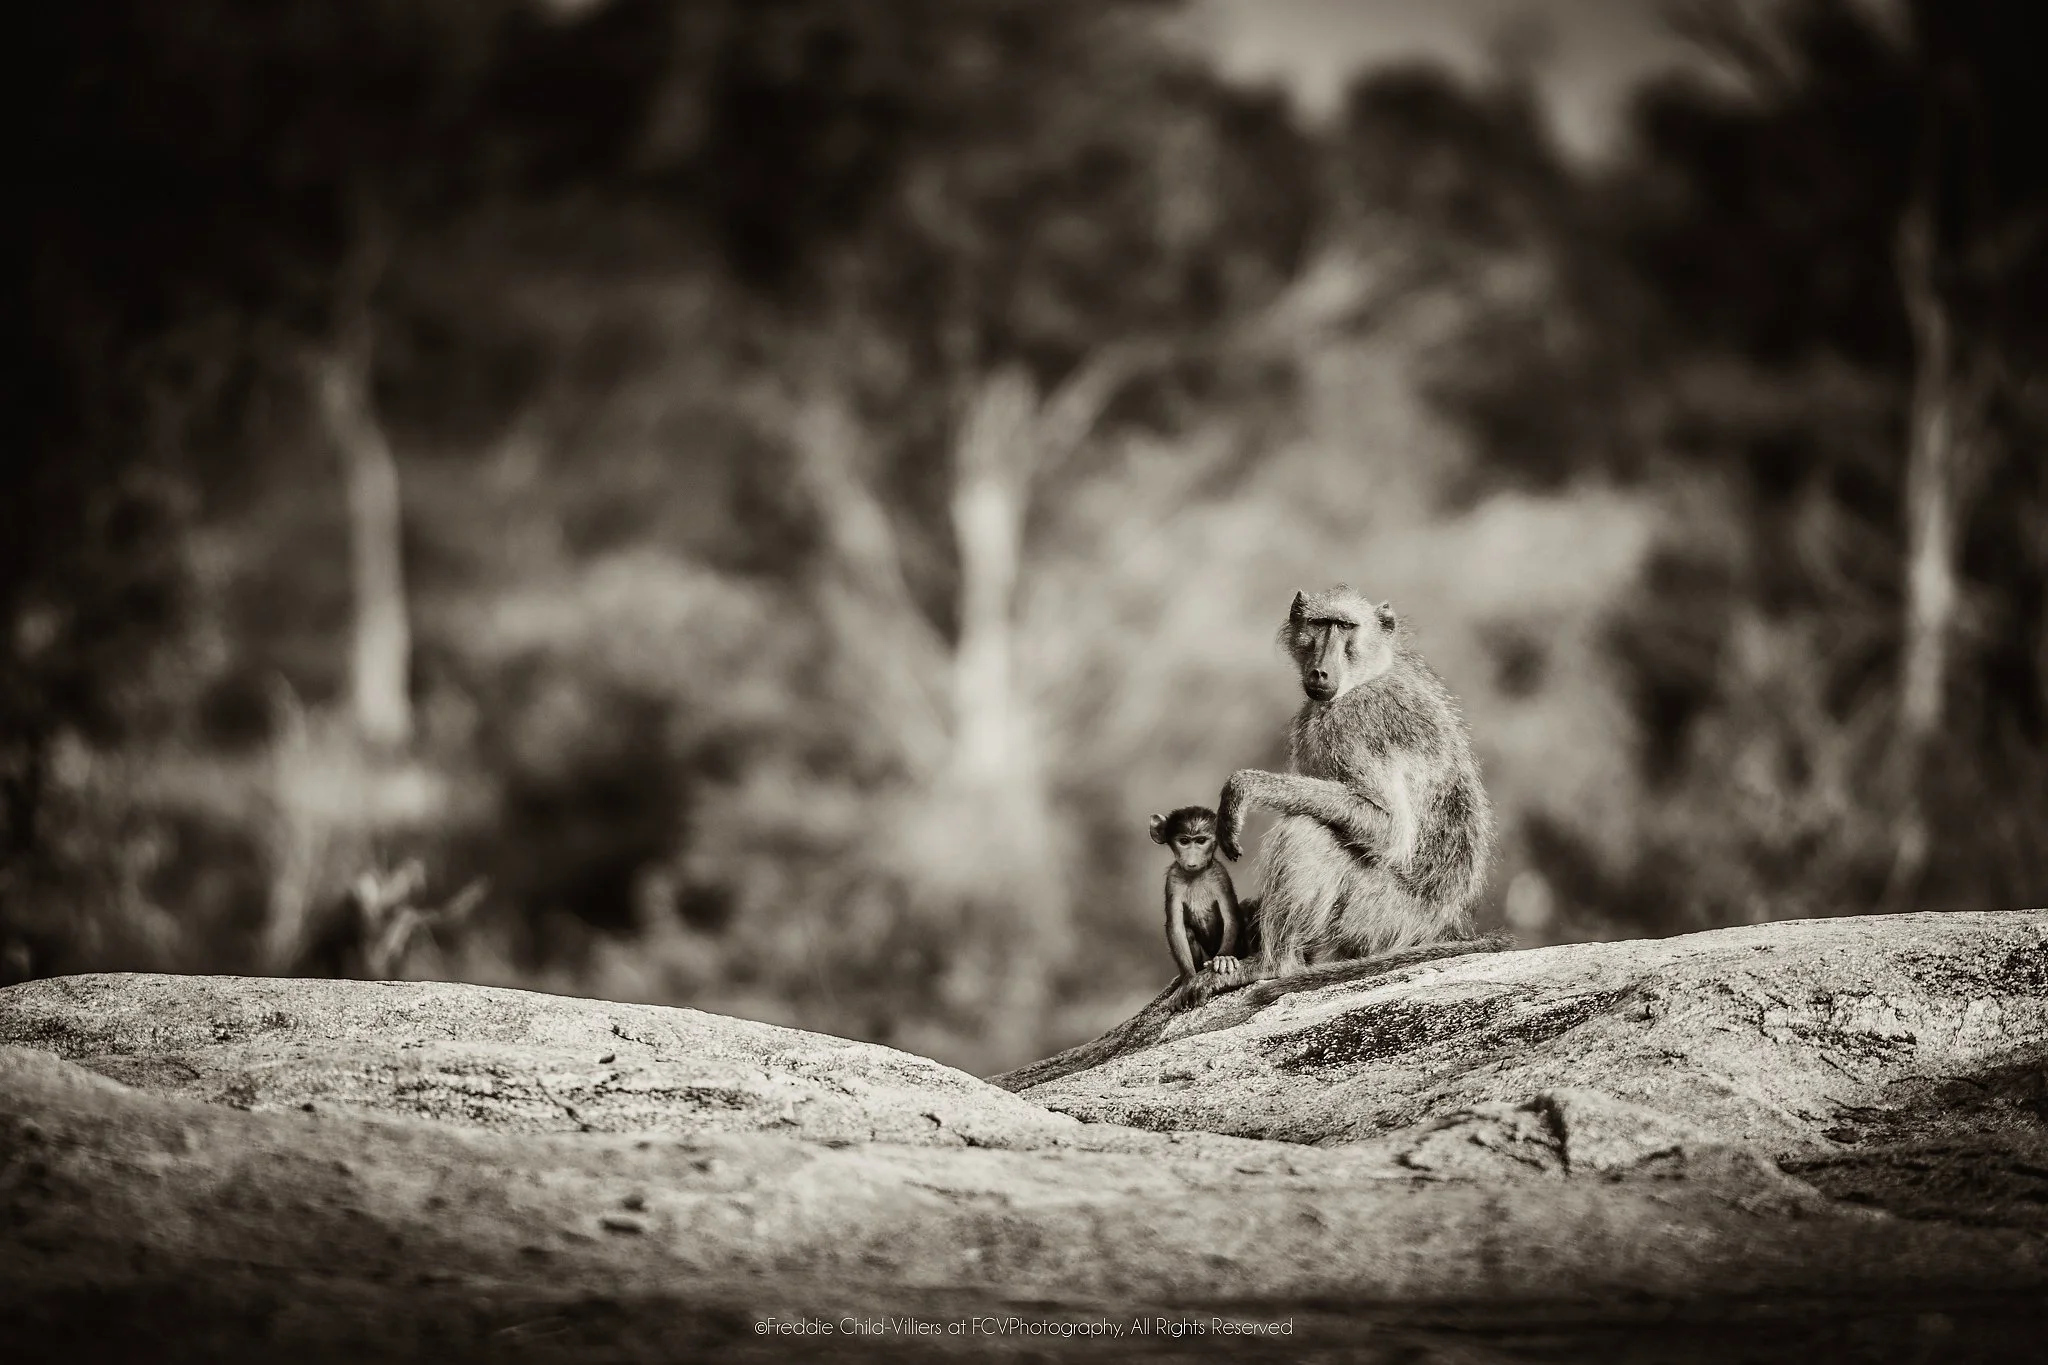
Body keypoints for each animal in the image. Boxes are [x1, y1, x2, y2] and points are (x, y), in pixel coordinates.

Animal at [1148, 806, 1243, 988]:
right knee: (1188, 931)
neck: (1196, 875)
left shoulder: (1220, 876)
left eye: (1201, 841)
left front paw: (1224, 958)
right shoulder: (1173, 879)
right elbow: (1176, 927)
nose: (1191, 861)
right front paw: (1189, 977)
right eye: (1184, 841)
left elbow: (1231, 917)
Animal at [1203, 585, 1494, 995]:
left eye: (1345, 627)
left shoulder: (1358, 720)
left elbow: (1389, 828)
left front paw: (1244, 788)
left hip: (1378, 921)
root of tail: (1439, 928)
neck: (1366, 676)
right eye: (1321, 624)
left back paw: (1271, 965)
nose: (1320, 671)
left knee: (1306, 830)